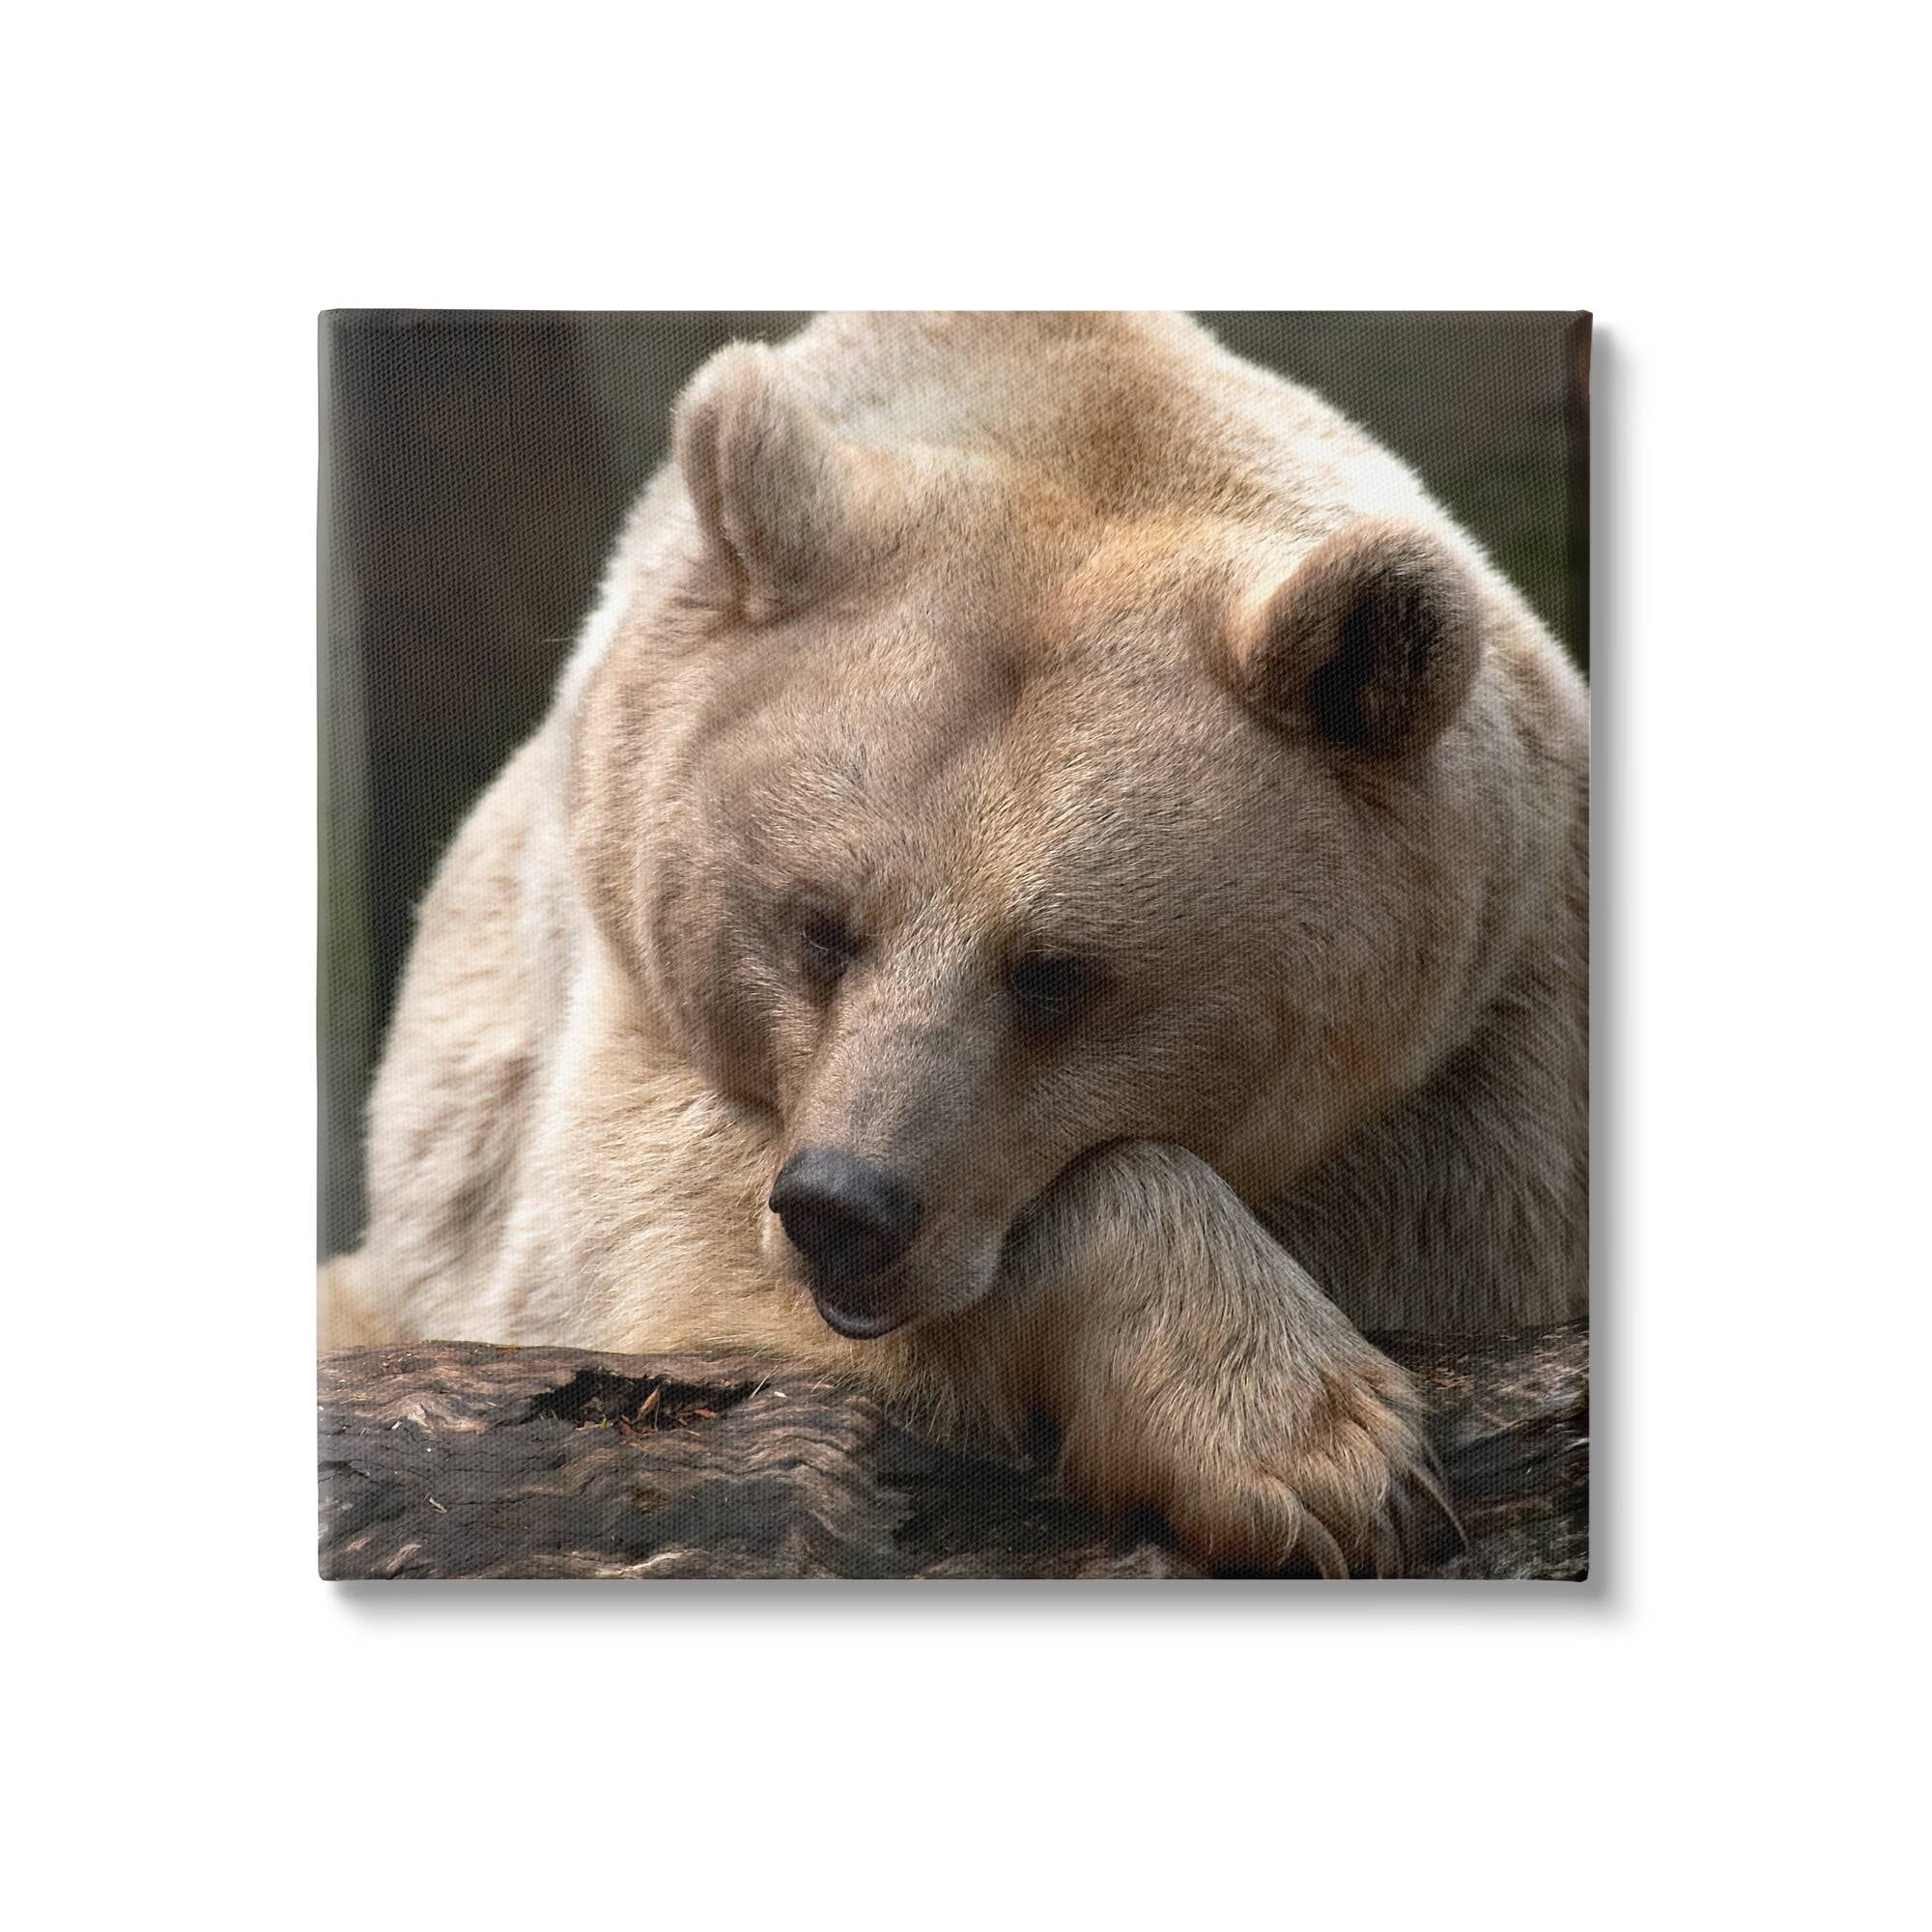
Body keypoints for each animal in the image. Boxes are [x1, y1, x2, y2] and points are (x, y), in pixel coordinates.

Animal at [321, 310, 1589, 1577]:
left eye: (1053, 973)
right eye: (820, 927)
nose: (844, 1210)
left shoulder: (1487, 1098)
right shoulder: (615, 1023)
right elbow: (660, 1262)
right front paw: (1310, 1446)